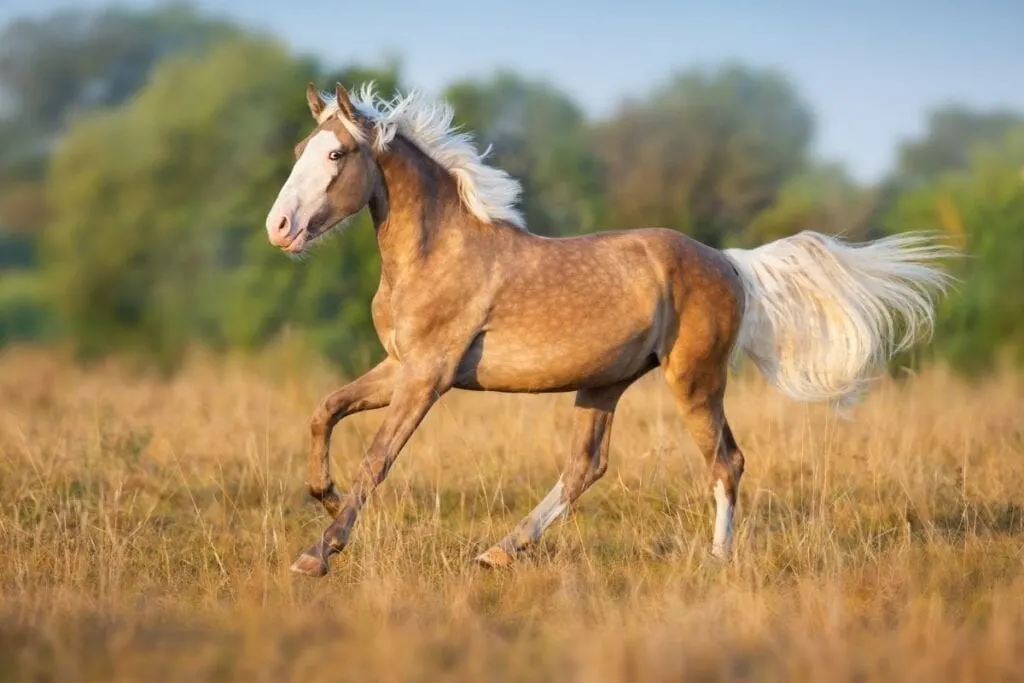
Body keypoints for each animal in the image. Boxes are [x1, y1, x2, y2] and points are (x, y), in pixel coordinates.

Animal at [262, 82, 950, 581]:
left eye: (336, 154)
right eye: (299, 150)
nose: (279, 227)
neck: (439, 253)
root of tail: (731, 262)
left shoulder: (429, 376)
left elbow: (377, 458)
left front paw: (316, 554)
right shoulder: (400, 367)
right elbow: (325, 410)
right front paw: (324, 495)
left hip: (694, 380)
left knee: (724, 461)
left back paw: (717, 561)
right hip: (604, 385)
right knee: (585, 467)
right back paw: (499, 552)